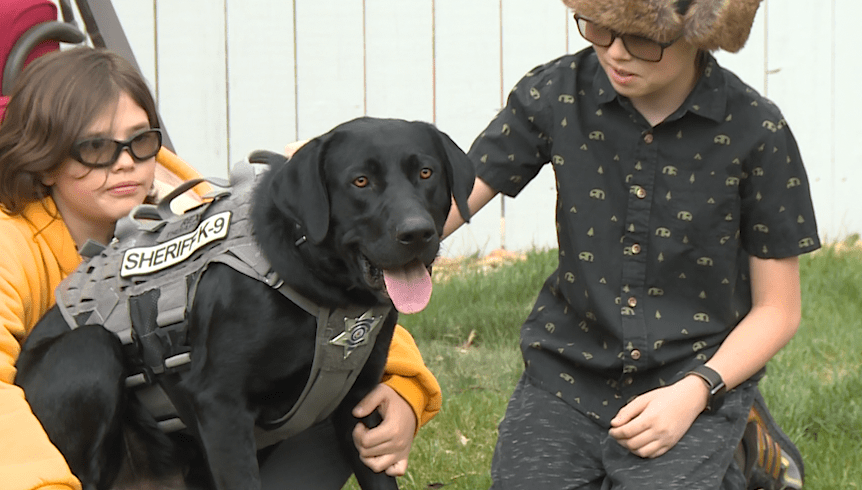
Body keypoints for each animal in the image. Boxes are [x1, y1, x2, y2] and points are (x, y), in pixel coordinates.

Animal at [13, 117, 476, 490]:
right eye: (360, 181)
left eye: (426, 172)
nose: (416, 233)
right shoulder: (220, 407)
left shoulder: (358, 402)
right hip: (91, 349)